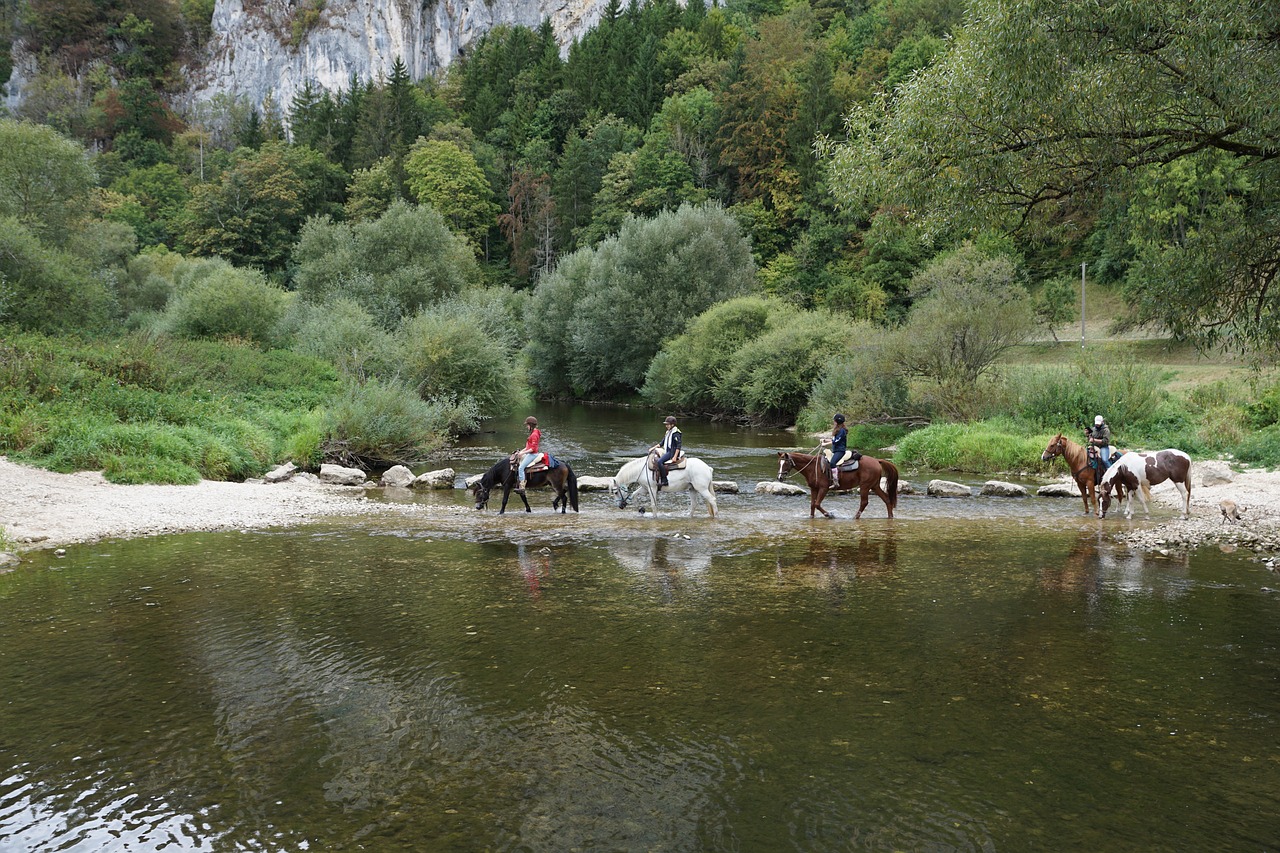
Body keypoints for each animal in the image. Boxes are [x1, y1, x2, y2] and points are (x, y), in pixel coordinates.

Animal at [768, 450, 901, 517]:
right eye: (779, 463)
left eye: (785, 463)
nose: (779, 477)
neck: (813, 467)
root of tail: (877, 461)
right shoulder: (813, 489)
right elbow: (812, 505)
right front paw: (811, 517)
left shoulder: (823, 488)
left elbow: (817, 504)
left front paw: (829, 515)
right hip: (874, 486)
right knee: (887, 499)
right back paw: (890, 517)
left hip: (865, 486)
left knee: (864, 502)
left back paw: (855, 517)